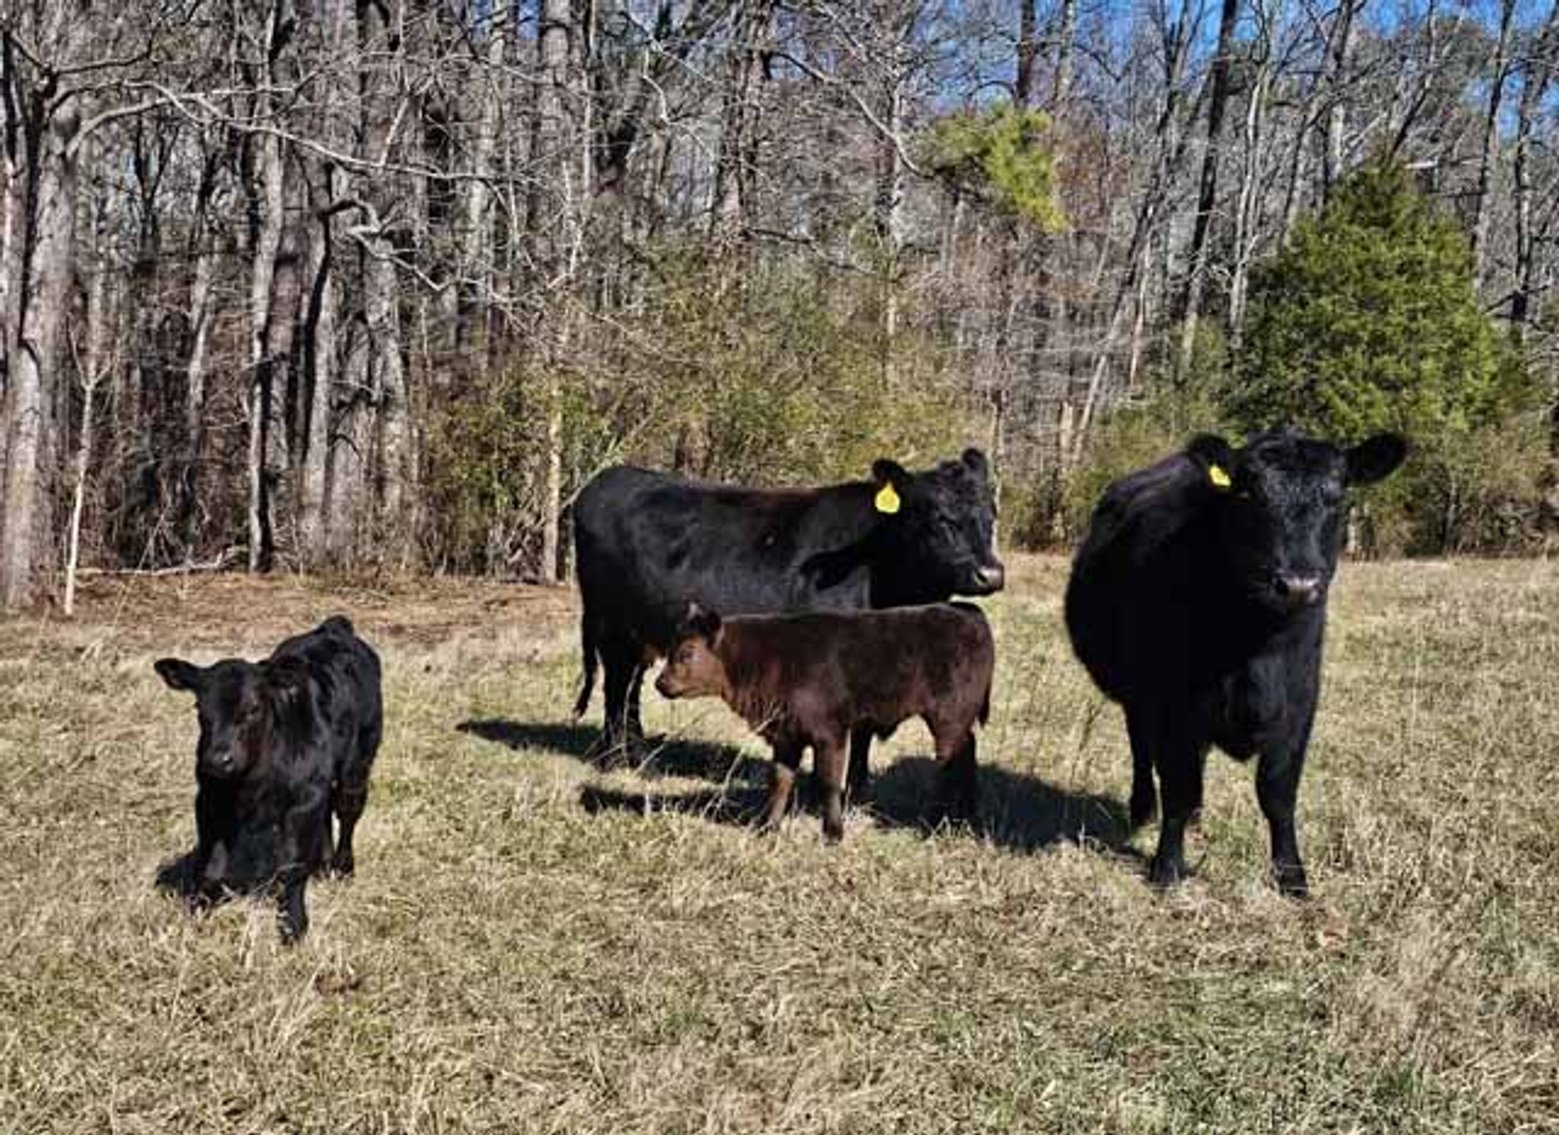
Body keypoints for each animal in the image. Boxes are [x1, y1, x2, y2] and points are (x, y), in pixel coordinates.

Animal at [153, 616, 383, 943]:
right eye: (199, 708)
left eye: (253, 708)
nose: (219, 760)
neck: (252, 780)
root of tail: (333, 627)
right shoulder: (209, 799)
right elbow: (212, 865)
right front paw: (197, 910)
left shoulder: (302, 800)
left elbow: (292, 866)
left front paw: (294, 924)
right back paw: (323, 864)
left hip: (360, 758)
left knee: (348, 809)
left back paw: (342, 867)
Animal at [572, 450, 1005, 795]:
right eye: (938, 518)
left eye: (991, 515)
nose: (991, 574)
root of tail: (608, 477)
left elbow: (864, 731)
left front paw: (857, 790)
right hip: (612, 627)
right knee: (616, 689)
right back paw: (617, 760)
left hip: (640, 634)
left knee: (630, 689)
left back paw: (641, 756)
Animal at [653, 601, 995, 840]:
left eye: (686, 652)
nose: (660, 683)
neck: (767, 658)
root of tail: (967, 611)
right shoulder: (786, 736)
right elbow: (780, 780)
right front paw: (768, 827)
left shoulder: (830, 733)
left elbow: (829, 781)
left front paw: (833, 833)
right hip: (957, 719)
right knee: (967, 751)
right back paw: (970, 814)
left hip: (947, 717)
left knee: (949, 762)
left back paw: (934, 822)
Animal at [1064, 428, 1407, 896]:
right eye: (1249, 493)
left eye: (1337, 496)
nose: (1298, 584)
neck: (1256, 653)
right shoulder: (1175, 705)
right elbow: (1178, 785)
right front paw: (1167, 867)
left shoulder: (1300, 705)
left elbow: (1278, 795)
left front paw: (1292, 875)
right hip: (1136, 695)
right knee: (1141, 747)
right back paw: (1142, 809)